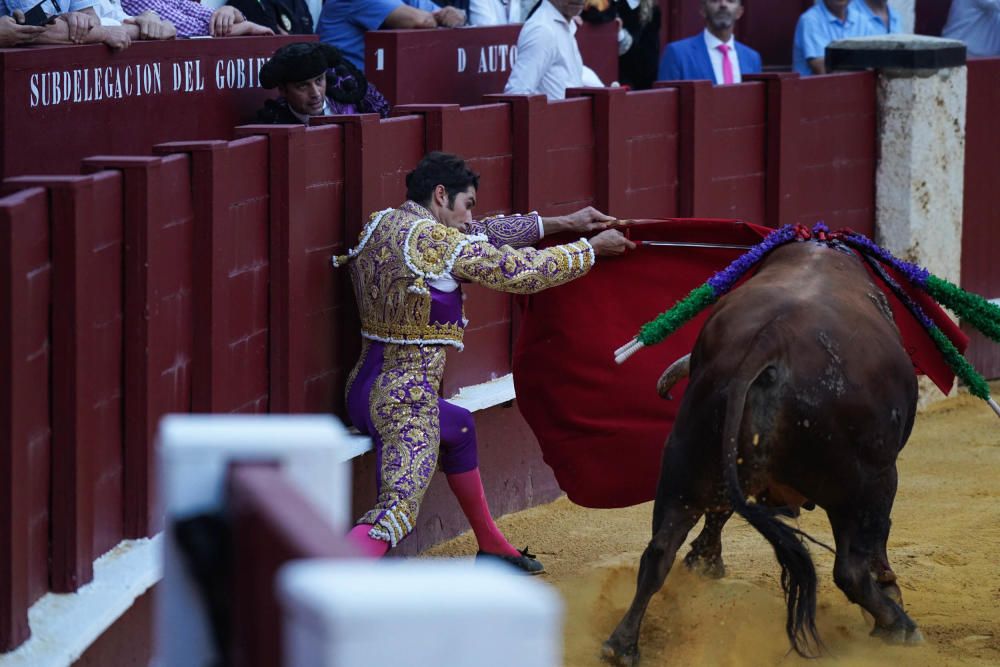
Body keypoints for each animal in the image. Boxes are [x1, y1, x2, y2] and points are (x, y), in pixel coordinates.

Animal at [600, 239, 920, 664]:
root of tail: (772, 340)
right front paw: (889, 588)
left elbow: (718, 511)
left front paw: (704, 561)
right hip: (867, 483)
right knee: (850, 567)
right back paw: (897, 625)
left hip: (685, 458)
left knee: (659, 551)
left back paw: (620, 646)